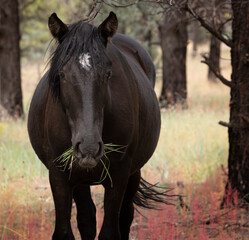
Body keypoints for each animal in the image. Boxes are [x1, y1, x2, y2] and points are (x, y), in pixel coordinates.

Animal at [28, 11, 163, 240]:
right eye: (62, 74)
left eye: (107, 74)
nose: (89, 147)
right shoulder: (59, 175)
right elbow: (66, 231)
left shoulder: (119, 176)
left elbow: (110, 231)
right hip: (80, 180)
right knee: (87, 219)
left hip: (133, 173)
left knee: (125, 216)